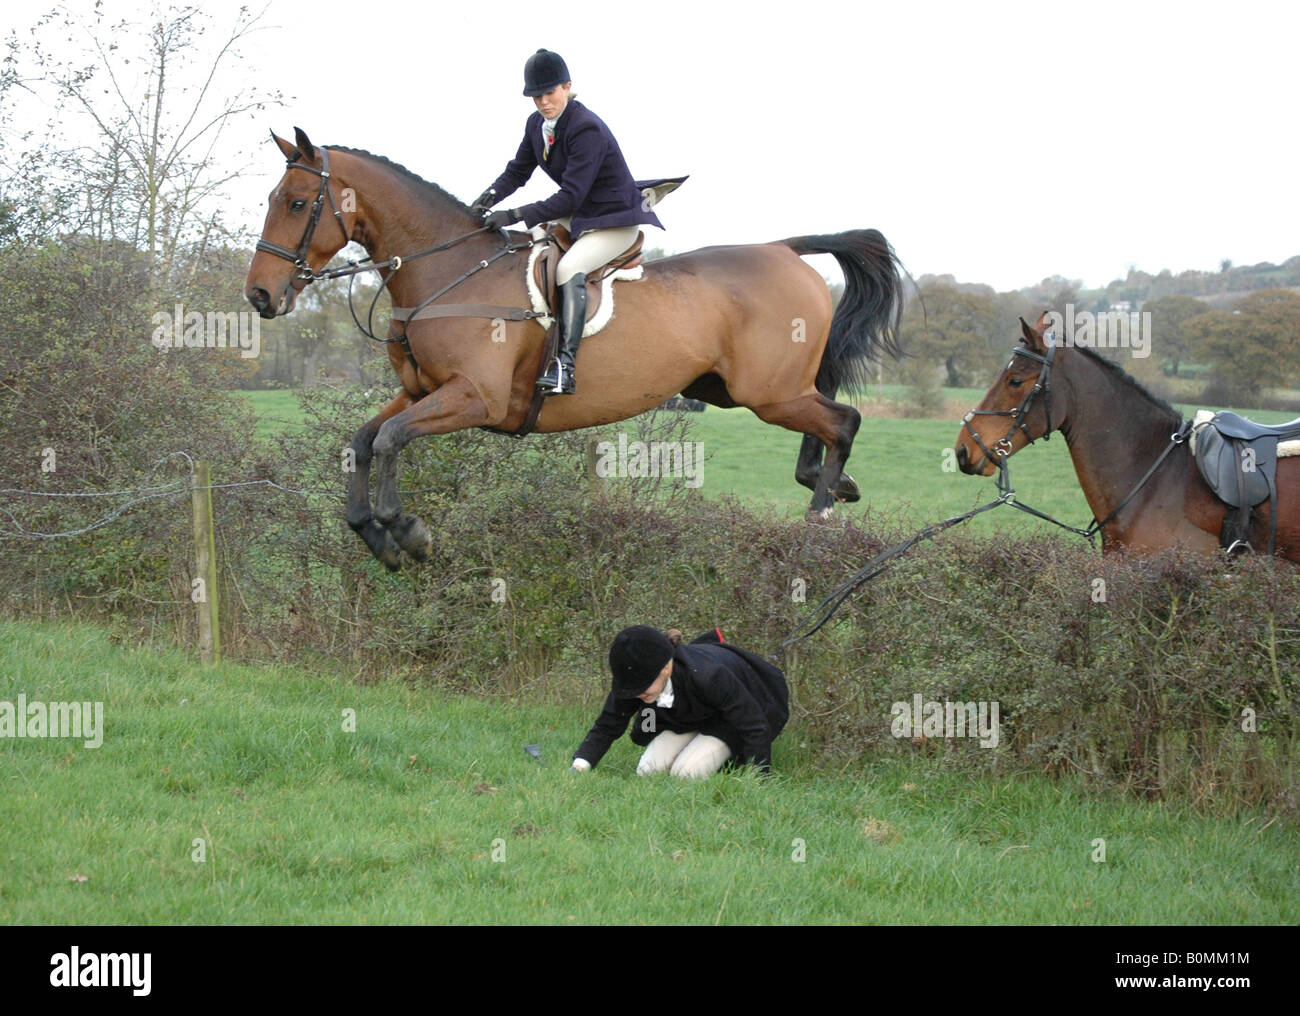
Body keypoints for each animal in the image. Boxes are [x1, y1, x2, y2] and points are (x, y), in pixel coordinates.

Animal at [244, 129, 904, 571]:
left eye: (297, 203)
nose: (259, 295)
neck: (450, 271)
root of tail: (785, 248)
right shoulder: (422, 390)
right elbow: (362, 439)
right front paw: (372, 532)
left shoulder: (474, 399)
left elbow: (388, 439)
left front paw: (405, 530)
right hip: (733, 387)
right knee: (827, 417)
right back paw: (833, 487)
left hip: (766, 392)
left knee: (844, 420)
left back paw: (819, 516)